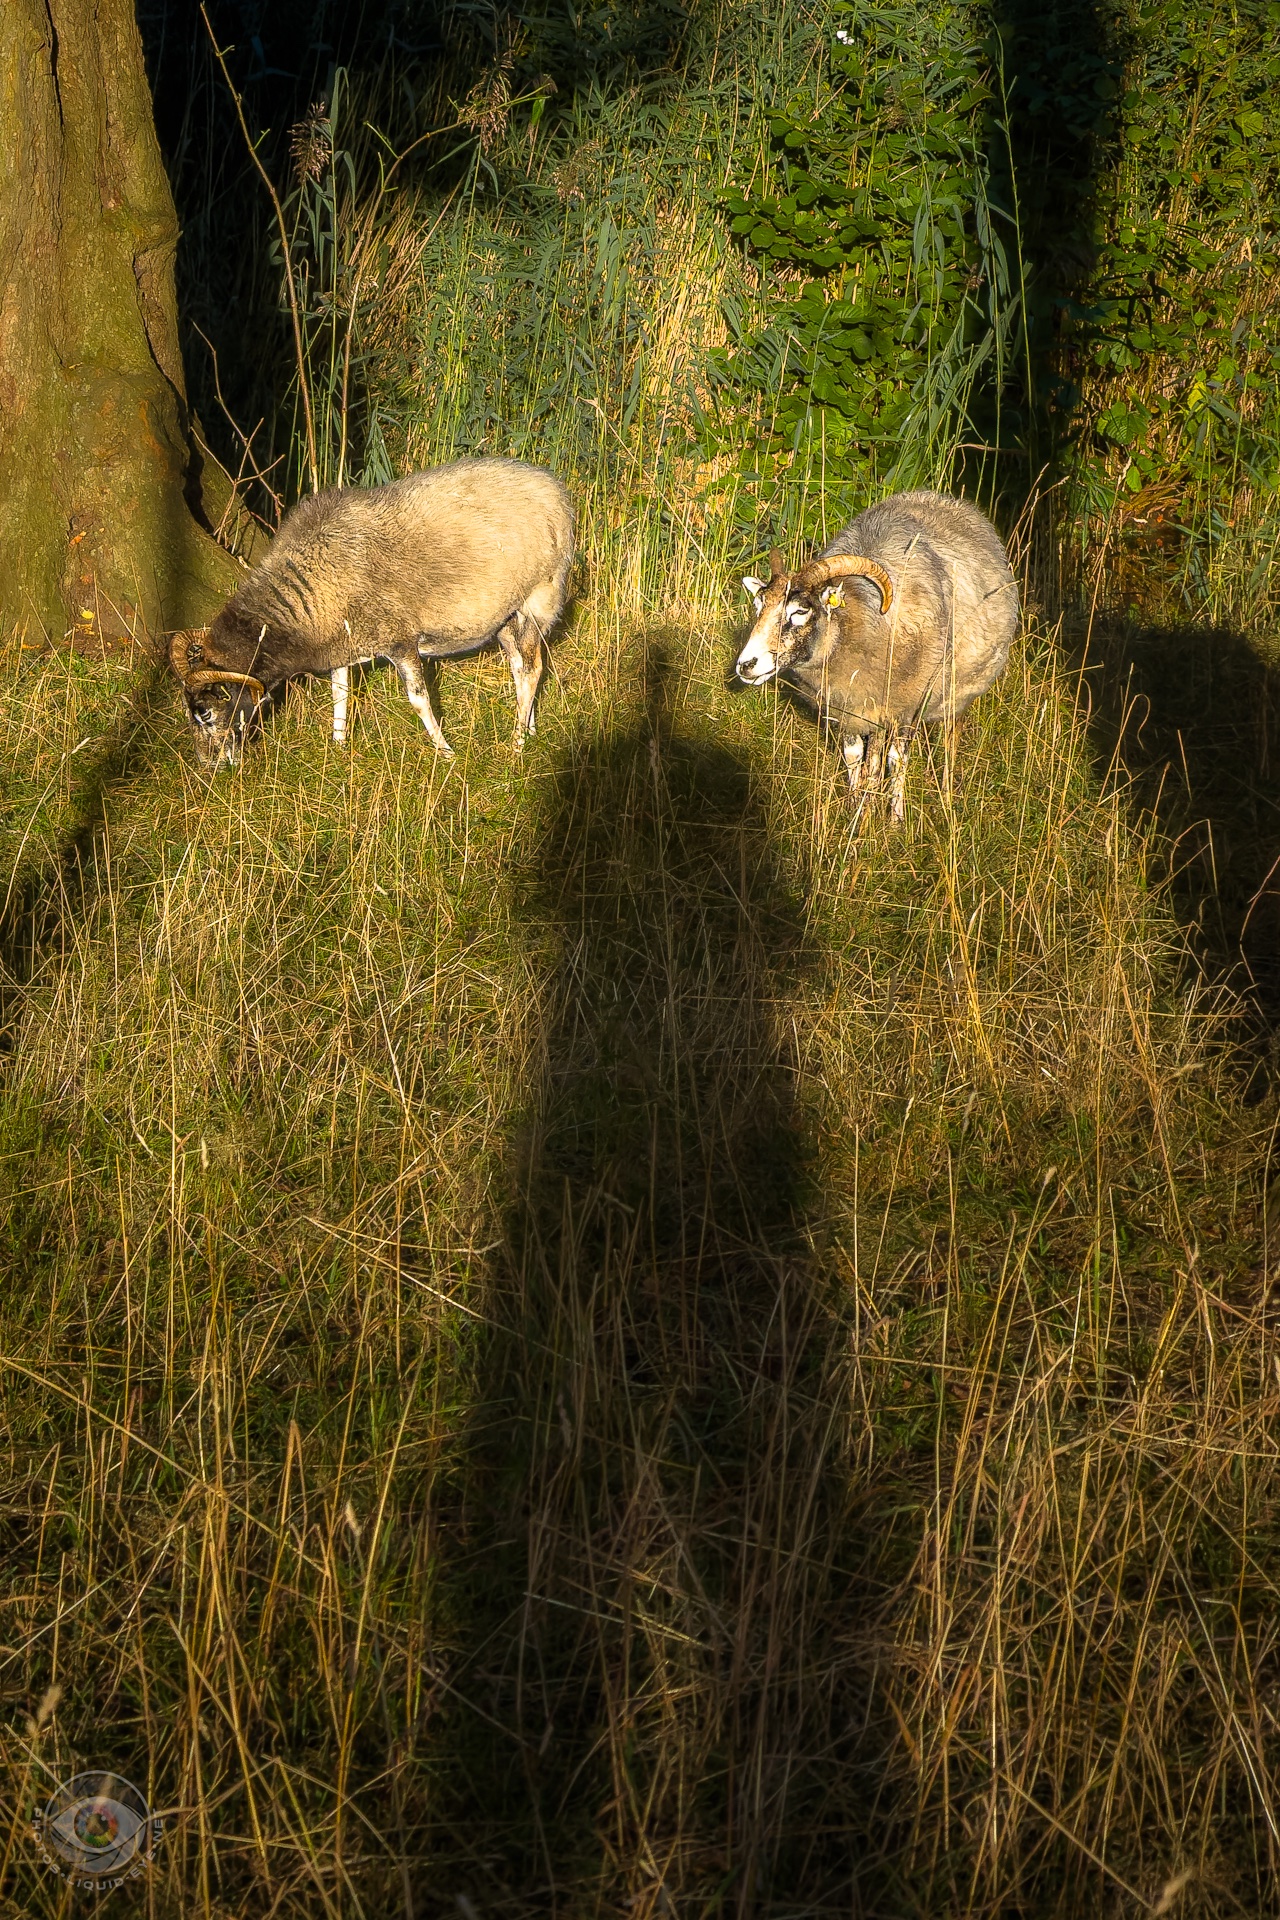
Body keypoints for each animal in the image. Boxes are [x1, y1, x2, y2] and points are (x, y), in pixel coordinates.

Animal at [169, 457, 575, 767]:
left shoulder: (400, 641)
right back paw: (529, 728)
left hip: (537, 598)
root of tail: (554, 486)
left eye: (204, 712)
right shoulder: (341, 645)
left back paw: (518, 743)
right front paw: (338, 747)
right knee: (521, 667)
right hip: (506, 616)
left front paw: (446, 753)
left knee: (533, 669)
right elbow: (340, 695)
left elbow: (418, 700)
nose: (209, 766)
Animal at [734, 490, 1018, 821]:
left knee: (950, 737)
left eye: (800, 611)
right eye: (758, 606)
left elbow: (894, 758)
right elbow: (855, 755)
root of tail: (945, 499)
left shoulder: (903, 704)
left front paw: (892, 818)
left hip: (958, 692)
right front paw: (857, 809)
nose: (746, 665)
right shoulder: (850, 706)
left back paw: (947, 796)